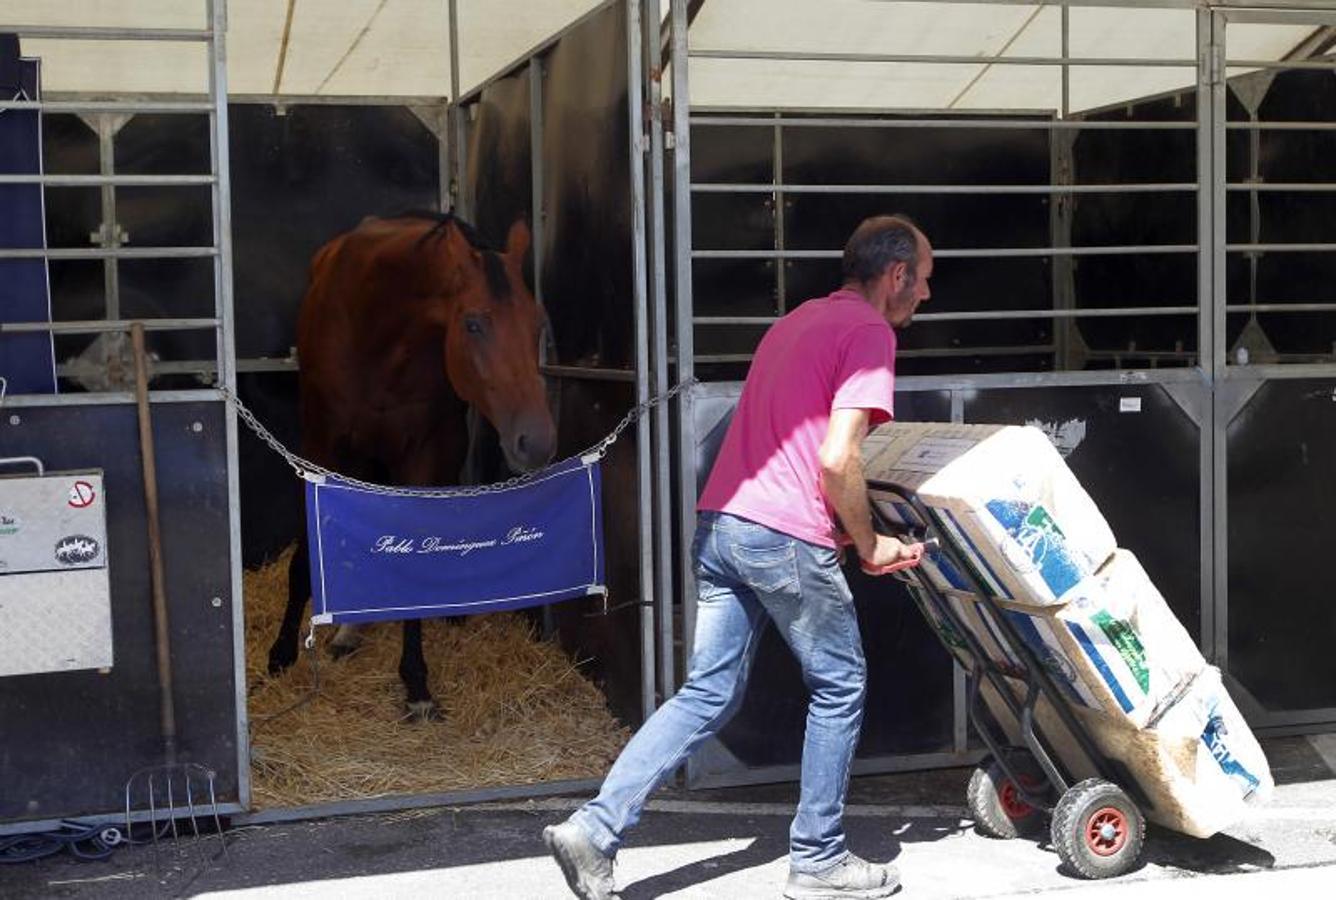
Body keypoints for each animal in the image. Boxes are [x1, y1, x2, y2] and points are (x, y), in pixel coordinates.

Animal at [265, 210, 558, 715]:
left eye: (537, 322)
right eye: (473, 324)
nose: (536, 442)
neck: (375, 325)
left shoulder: (424, 452)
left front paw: (416, 682)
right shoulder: (321, 445)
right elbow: (303, 556)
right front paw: (282, 653)